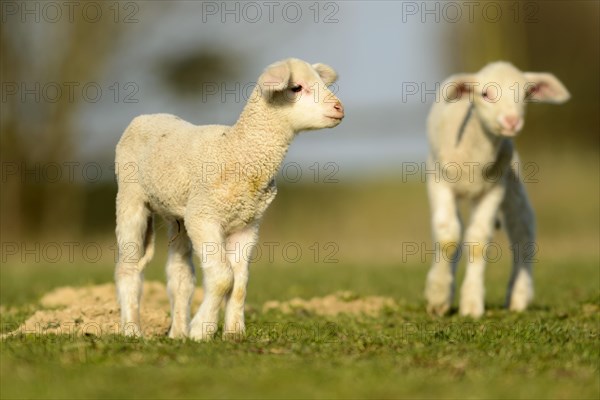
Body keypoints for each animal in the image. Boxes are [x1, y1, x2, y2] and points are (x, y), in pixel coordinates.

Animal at [115, 58, 344, 340]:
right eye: (296, 87)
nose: (339, 108)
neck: (238, 151)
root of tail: (146, 116)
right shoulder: (204, 217)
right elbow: (224, 278)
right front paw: (201, 329)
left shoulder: (247, 224)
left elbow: (240, 282)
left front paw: (233, 332)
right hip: (130, 197)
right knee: (128, 267)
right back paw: (132, 330)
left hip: (180, 215)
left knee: (180, 275)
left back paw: (177, 333)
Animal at [424, 61, 568, 318]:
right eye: (485, 94)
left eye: (525, 94)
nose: (511, 121)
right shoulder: (439, 181)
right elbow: (448, 237)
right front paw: (438, 297)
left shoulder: (494, 189)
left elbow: (478, 242)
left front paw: (471, 305)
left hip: (513, 181)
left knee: (523, 230)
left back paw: (518, 296)